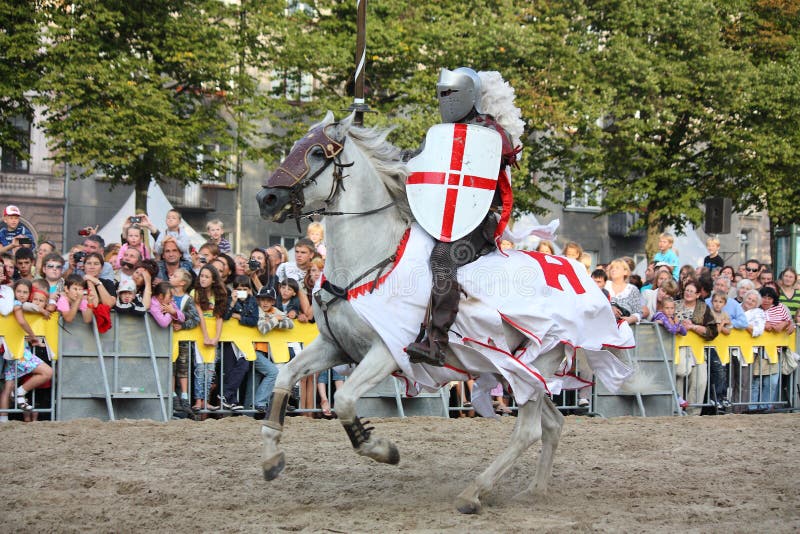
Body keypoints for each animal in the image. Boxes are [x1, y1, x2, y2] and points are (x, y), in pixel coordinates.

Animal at [260, 112, 648, 516]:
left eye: (318, 153)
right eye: (294, 147)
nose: (265, 197)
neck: (372, 258)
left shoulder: (386, 352)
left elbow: (345, 401)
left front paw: (383, 450)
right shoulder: (334, 346)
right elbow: (285, 376)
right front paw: (271, 458)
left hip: (537, 362)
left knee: (529, 431)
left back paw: (473, 492)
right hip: (518, 370)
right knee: (553, 424)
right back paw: (534, 491)